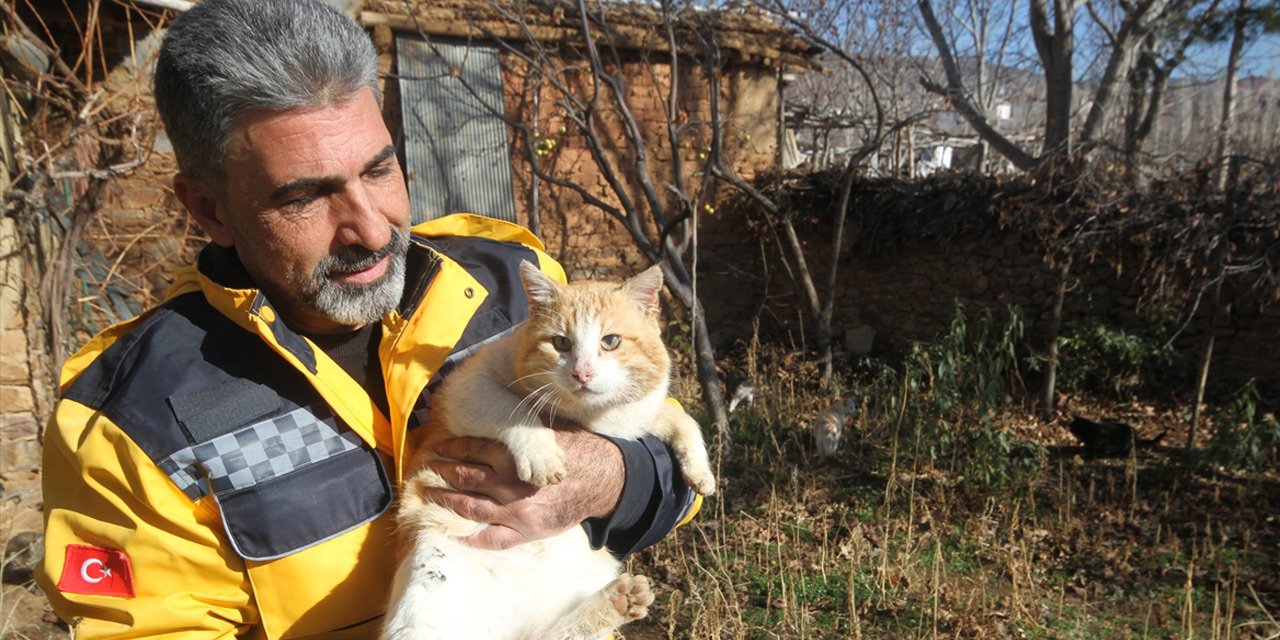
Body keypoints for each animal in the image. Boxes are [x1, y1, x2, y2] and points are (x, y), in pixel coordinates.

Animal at [378, 261, 721, 640]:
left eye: (610, 341)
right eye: (560, 342)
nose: (582, 373)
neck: (591, 418)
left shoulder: (639, 416)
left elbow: (683, 419)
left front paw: (701, 474)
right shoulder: (465, 388)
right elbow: (513, 410)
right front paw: (543, 456)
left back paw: (618, 601)